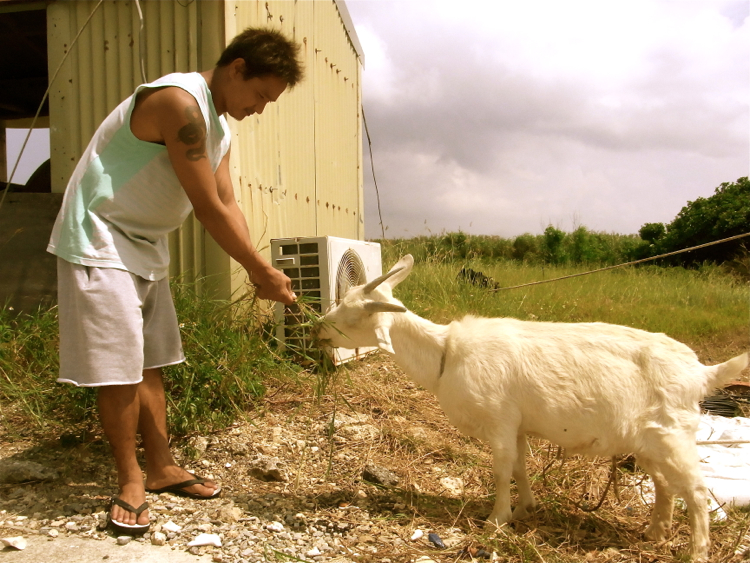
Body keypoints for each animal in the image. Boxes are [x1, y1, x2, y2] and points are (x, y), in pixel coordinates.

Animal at [317, 254, 749, 562]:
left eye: (351, 315)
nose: (317, 327)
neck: (445, 354)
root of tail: (701, 372)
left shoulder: (500, 419)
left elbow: (501, 468)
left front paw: (496, 520)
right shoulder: (519, 425)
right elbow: (521, 466)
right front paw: (525, 507)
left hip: (675, 434)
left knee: (696, 491)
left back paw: (696, 553)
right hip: (650, 442)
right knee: (664, 485)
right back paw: (655, 533)